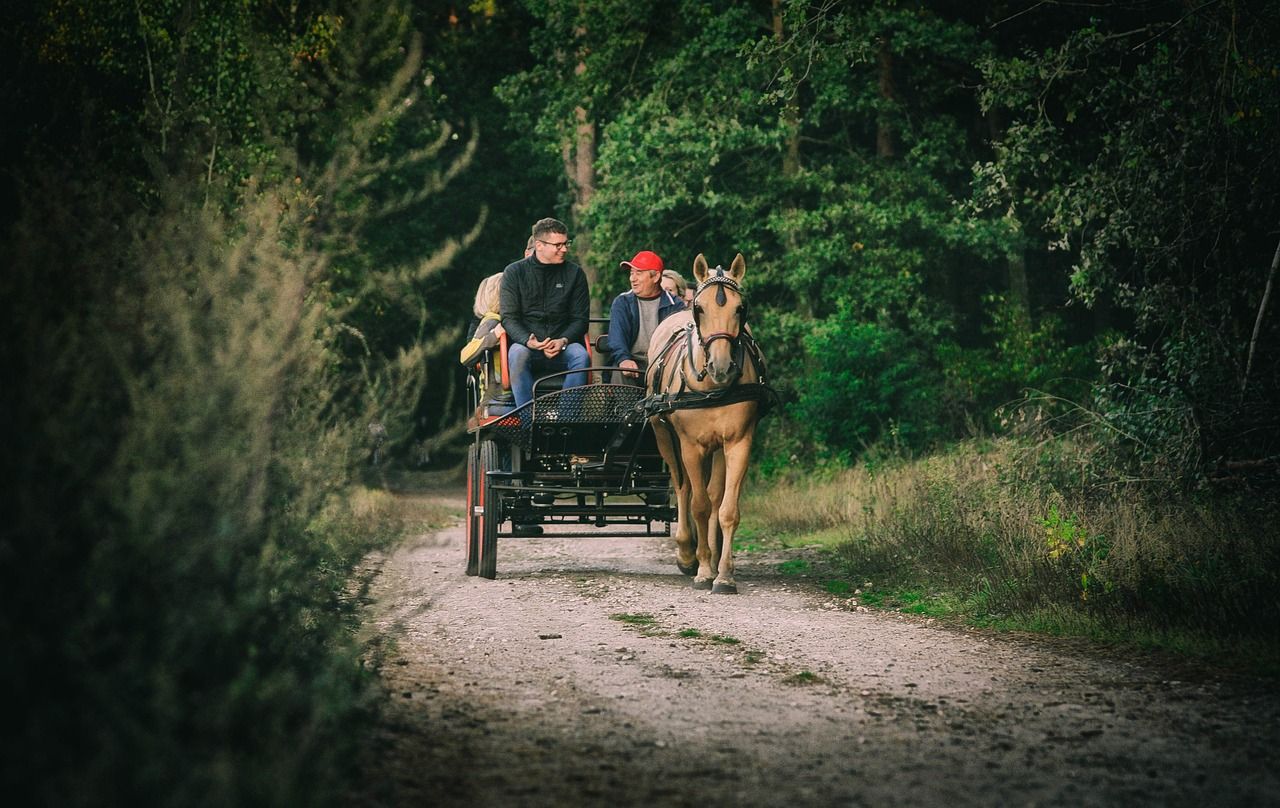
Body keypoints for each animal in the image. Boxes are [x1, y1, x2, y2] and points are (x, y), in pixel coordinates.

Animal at [640, 253, 768, 594]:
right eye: (700, 309)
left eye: (740, 308)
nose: (721, 367)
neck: (712, 386)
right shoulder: (690, 445)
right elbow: (697, 504)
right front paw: (700, 569)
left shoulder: (738, 441)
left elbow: (725, 508)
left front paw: (722, 574)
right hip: (664, 436)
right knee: (682, 487)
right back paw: (688, 553)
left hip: (716, 448)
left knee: (713, 495)